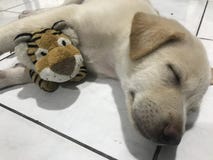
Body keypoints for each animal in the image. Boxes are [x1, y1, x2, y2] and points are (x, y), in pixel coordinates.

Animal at [0, 0, 211, 145]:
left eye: (191, 109)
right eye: (174, 73)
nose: (173, 139)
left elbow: (32, 72)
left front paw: (5, 76)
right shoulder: (72, 14)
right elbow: (10, 33)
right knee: (57, 6)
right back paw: (29, 11)